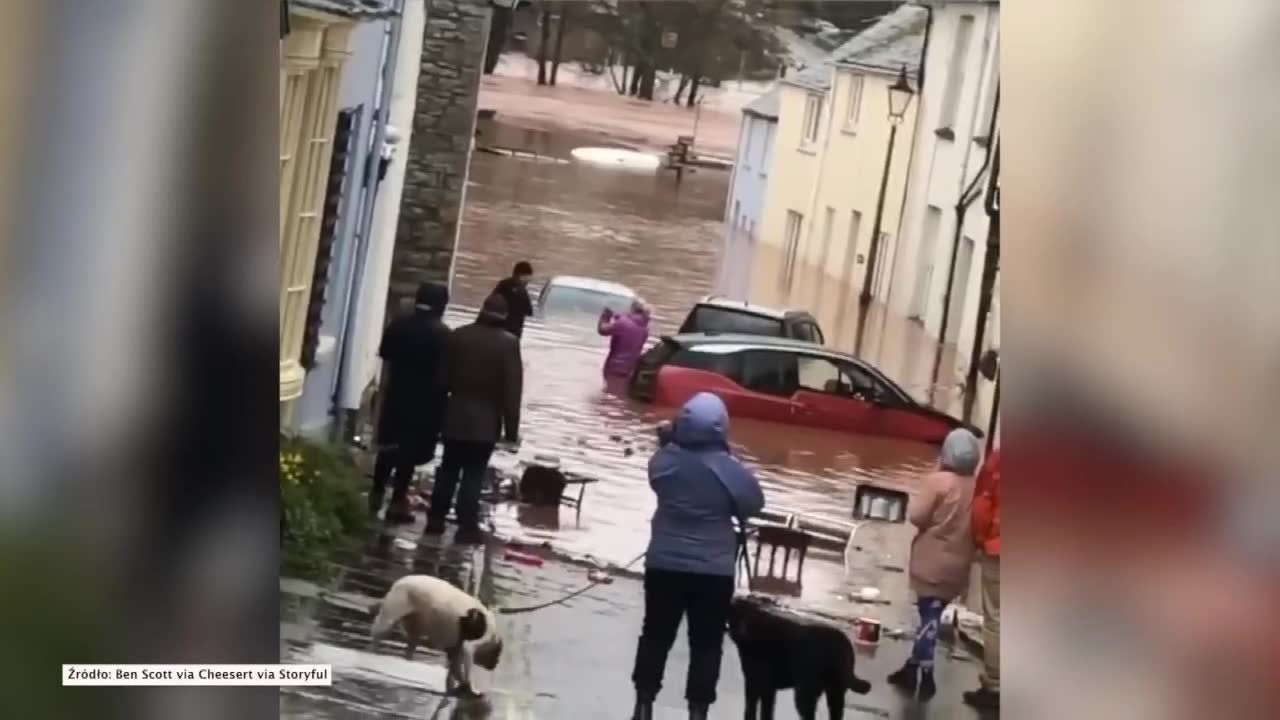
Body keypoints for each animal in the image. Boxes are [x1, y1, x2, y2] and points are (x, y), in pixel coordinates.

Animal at [727, 594, 875, 717]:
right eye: (738, 616)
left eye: (749, 618)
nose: (742, 631)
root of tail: (842, 644)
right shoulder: (767, 689)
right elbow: (765, 713)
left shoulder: (755, 684)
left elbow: (750, 711)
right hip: (835, 692)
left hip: (805, 693)